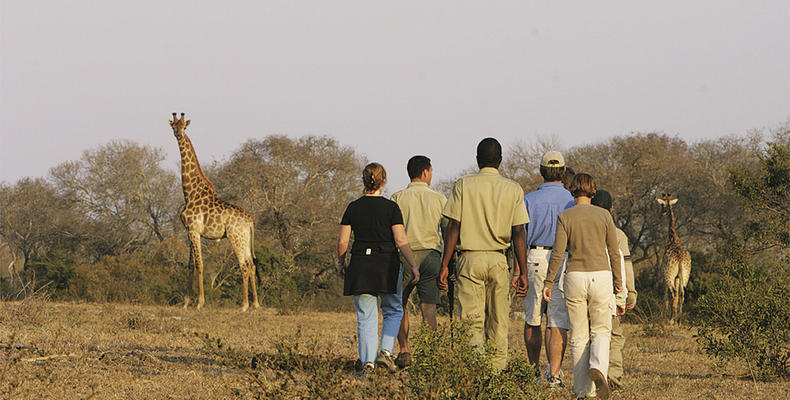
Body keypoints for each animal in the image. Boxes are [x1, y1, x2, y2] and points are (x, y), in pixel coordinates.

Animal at [169, 113, 262, 312]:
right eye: (174, 125)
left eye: (184, 127)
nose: (178, 134)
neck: (189, 192)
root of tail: (250, 220)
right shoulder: (189, 231)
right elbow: (190, 265)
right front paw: (186, 303)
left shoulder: (194, 230)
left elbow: (200, 264)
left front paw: (199, 302)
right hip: (245, 238)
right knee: (251, 265)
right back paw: (256, 304)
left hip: (235, 237)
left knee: (244, 265)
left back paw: (244, 305)